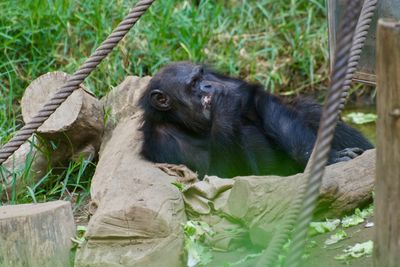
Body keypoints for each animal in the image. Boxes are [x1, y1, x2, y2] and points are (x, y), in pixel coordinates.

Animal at [139, 62, 374, 179]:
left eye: (202, 76)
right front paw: (224, 105)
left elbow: (256, 100)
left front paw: (324, 159)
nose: (208, 85)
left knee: (308, 111)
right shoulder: (164, 145)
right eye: (193, 83)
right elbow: (221, 175)